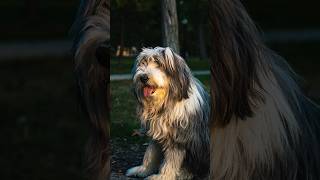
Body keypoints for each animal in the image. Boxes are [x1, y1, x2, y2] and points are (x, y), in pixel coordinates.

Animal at [126, 47, 211, 180]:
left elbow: (171, 160)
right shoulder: (157, 133)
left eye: (159, 64)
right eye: (142, 63)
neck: (166, 104)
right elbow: (150, 153)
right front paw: (142, 169)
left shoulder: (179, 136)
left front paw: (162, 176)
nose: (143, 78)